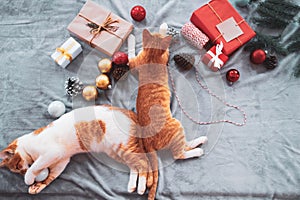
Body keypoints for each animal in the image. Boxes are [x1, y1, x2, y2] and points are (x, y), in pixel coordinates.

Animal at [0, 105, 152, 196]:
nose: (22, 172)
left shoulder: (51, 153)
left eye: (18, 166)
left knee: (144, 163)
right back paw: (132, 186)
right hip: (116, 152)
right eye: (17, 171)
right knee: (136, 166)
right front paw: (38, 186)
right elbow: (51, 176)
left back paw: (141, 188)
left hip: (122, 147)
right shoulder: (61, 162)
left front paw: (29, 178)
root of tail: (129, 112)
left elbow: (35, 167)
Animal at [129, 29, 209, 200]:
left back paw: (200, 141)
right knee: (179, 154)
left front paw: (163, 28)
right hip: (177, 126)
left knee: (183, 148)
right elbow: (131, 50)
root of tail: (148, 139)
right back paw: (198, 148)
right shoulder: (135, 62)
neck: (152, 55)